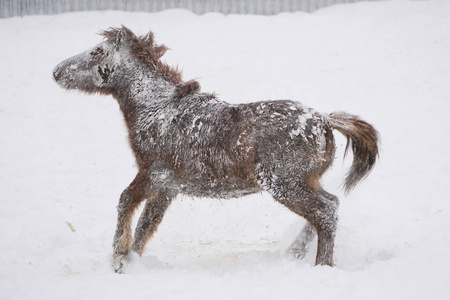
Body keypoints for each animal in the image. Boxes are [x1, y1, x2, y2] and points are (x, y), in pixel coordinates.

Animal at [52, 26, 378, 274]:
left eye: (96, 51)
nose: (56, 71)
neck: (154, 110)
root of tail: (324, 120)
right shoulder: (168, 187)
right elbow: (147, 224)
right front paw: (131, 260)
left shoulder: (153, 174)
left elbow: (125, 202)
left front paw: (119, 259)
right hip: (302, 182)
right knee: (329, 206)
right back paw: (295, 255)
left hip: (285, 184)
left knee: (325, 212)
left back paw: (321, 265)